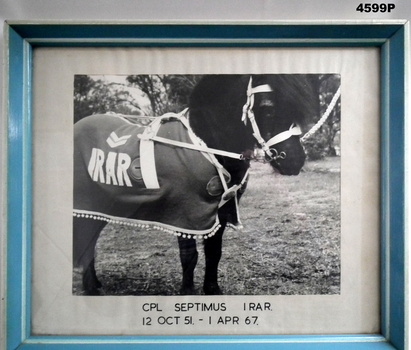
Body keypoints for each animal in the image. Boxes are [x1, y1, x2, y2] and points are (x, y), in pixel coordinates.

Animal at [72, 74, 314, 296]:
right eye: (267, 109)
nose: (295, 160)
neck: (206, 144)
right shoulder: (184, 213)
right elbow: (189, 256)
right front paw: (187, 291)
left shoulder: (219, 211)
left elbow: (214, 252)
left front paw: (212, 289)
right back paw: (91, 287)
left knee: (90, 239)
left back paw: (94, 284)